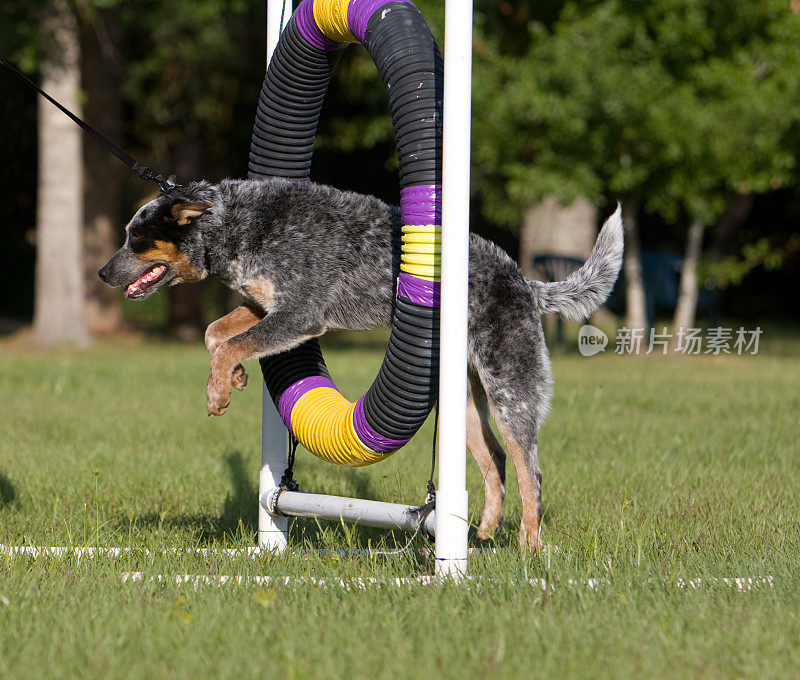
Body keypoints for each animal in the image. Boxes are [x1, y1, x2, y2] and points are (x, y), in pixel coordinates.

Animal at [98, 178, 624, 548]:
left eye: (136, 238)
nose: (102, 272)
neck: (237, 224)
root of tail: (524, 281)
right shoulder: (265, 306)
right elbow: (216, 334)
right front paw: (235, 377)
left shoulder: (301, 315)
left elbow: (229, 343)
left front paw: (218, 393)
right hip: (462, 399)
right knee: (494, 460)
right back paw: (483, 533)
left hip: (511, 390)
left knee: (530, 472)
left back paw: (530, 549)